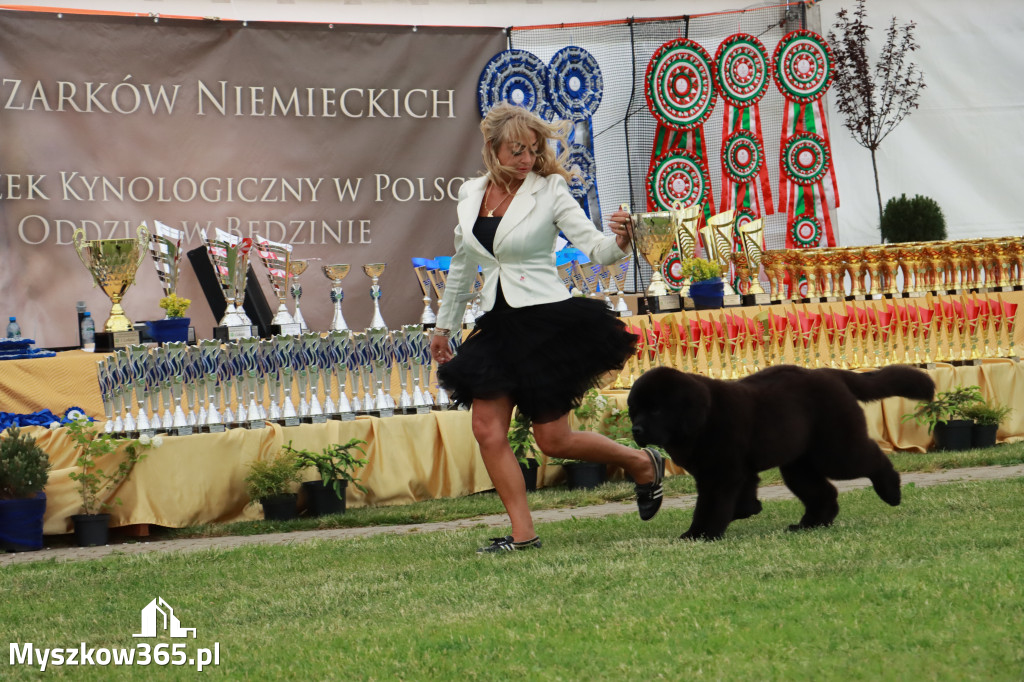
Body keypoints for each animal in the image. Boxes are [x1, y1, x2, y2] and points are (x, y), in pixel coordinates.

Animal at [626, 364, 933, 540]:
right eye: (634, 410)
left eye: (656, 410)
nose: (636, 430)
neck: (702, 418)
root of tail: (828, 373)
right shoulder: (732, 471)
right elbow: (743, 494)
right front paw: (746, 510)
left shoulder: (721, 474)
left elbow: (710, 506)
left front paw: (700, 534)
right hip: (799, 463)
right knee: (823, 493)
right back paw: (810, 525)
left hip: (834, 450)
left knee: (870, 459)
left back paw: (891, 491)